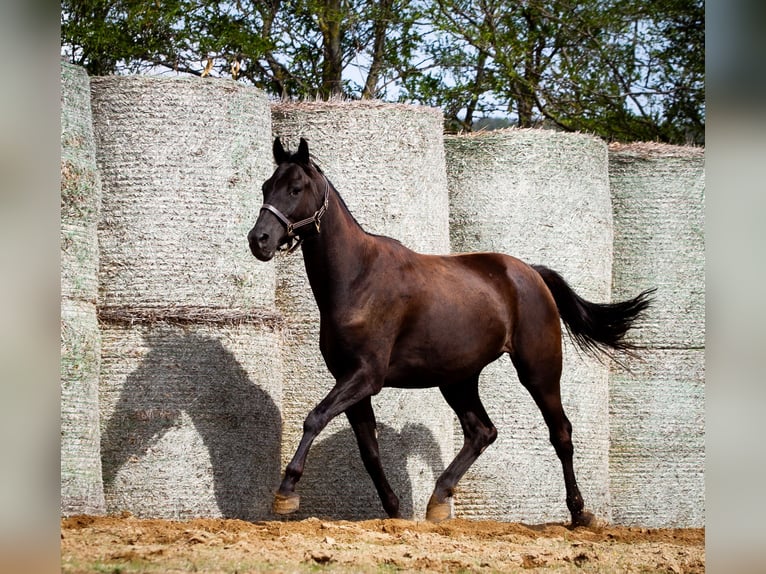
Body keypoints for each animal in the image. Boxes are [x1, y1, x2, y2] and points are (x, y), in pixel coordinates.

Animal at [248, 137, 656, 528]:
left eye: (296, 188)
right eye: (266, 186)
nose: (259, 240)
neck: (357, 278)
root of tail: (532, 273)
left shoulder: (366, 376)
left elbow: (315, 418)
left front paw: (286, 493)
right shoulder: (350, 380)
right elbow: (369, 450)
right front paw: (395, 510)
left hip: (538, 370)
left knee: (561, 433)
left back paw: (579, 513)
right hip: (458, 379)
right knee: (482, 432)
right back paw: (439, 499)